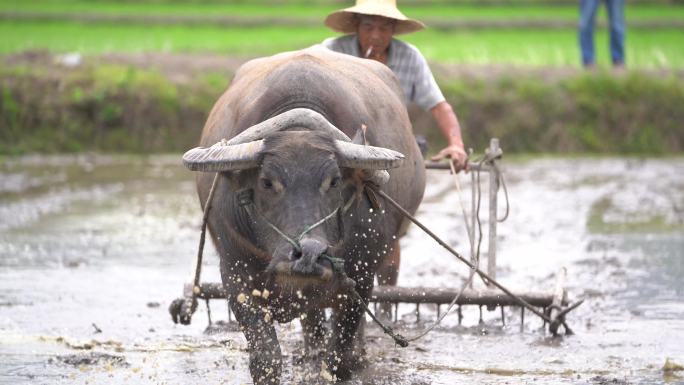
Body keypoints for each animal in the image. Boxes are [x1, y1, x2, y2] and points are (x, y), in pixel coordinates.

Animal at [184, 46, 424, 382]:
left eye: (334, 181)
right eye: (267, 182)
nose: (309, 254)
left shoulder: (360, 278)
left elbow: (339, 357)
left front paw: (345, 361)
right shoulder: (236, 275)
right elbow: (266, 356)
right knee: (312, 321)